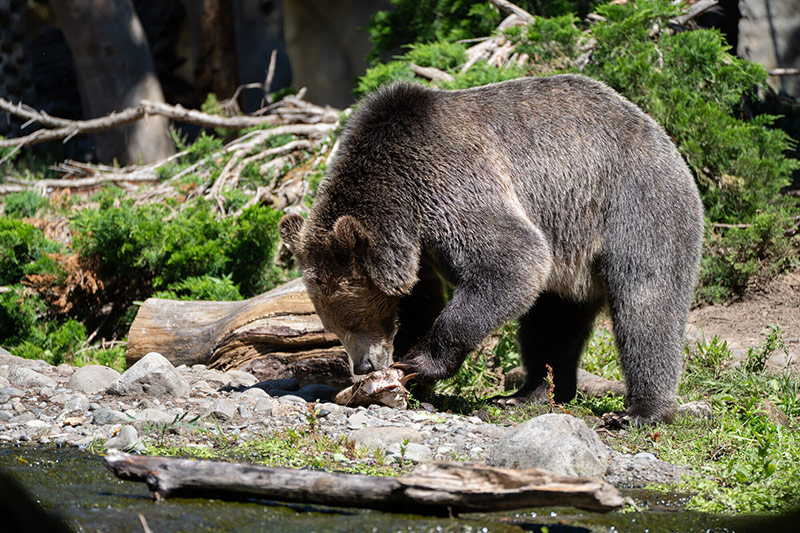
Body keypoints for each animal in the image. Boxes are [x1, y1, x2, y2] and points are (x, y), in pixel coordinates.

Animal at [279, 75, 704, 425]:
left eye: (353, 318)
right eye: (332, 325)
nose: (365, 366)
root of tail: (663, 137)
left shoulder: (450, 184)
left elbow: (513, 261)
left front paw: (419, 363)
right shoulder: (419, 247)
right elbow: (423, 301)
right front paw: (409, 377)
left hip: (634, 206)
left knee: (645, 305)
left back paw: (640, 411)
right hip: (571, 254)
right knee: (551, 321)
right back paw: (528, 394)